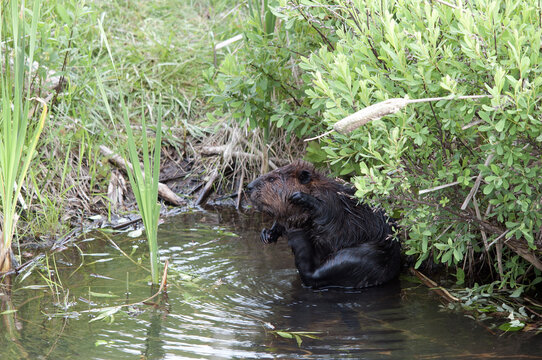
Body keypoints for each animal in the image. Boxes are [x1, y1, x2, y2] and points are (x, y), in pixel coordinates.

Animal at [249, 160, 402, 290]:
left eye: (271, 179)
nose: (248, 186)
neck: (318, 188)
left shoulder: (333, 201)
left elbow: (326, 213)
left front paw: (300, 197)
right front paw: (267, 234)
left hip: (356, 258)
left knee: (312, 276)